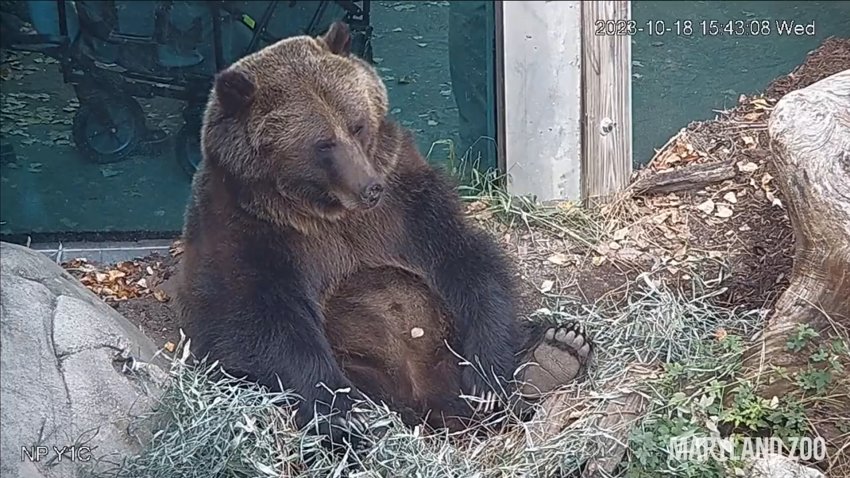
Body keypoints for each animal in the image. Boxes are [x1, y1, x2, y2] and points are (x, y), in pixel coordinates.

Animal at [176, 20, 592, 446]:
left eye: (357, 124)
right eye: (323, 143)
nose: (368, 187)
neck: (327, 212)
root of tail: (429, 400)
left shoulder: (405, 200)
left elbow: (468, 261)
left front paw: (488, 375)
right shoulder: (249, 231)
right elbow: (260, 320)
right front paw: (341, 412)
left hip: (446, 345)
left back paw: (553, 354)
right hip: (365, 365)